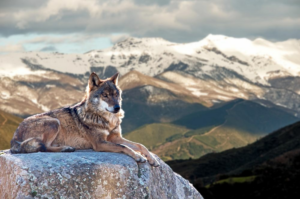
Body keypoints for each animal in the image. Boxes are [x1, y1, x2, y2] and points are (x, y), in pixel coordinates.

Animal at [9, 72, 159, 167]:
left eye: (116, 94)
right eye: (105, 95)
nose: (117, 108)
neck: (107, 120)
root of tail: (14, 137)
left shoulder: (115, 137)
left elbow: (140, 145)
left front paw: (152, 159)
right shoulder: (100, 143)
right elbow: (124, 147)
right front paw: (138, 156)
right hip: (54, 122)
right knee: (44, 147)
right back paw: (66, 148)